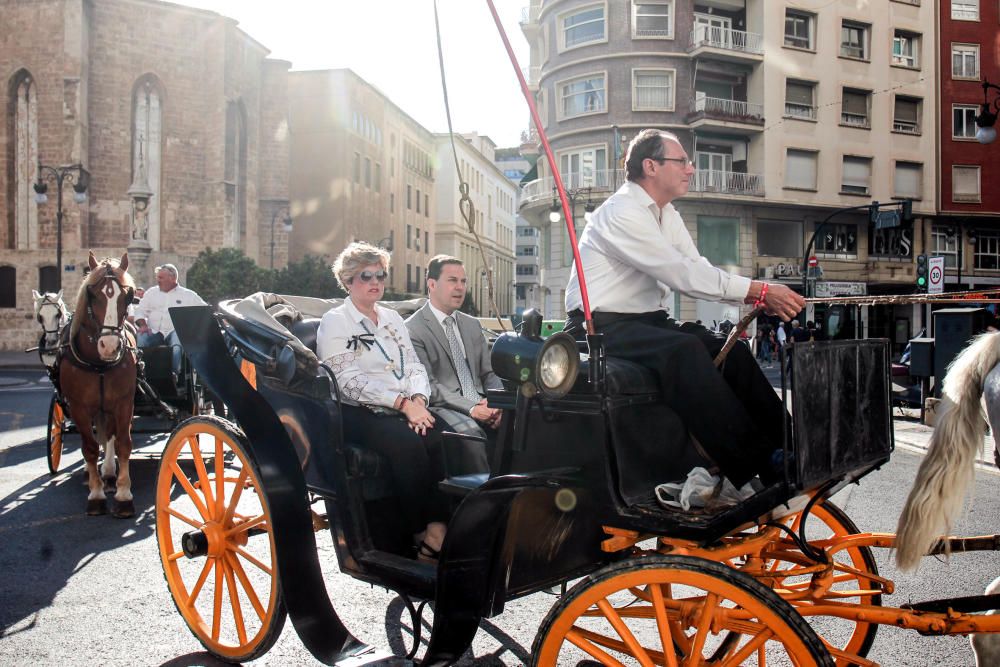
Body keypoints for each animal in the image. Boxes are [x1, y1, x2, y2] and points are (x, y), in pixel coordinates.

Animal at [60, 253, 139, 520]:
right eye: (92, 294)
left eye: (128, 296)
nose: (110, 346)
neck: (99, 364)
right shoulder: (79, 407)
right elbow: (90, 448)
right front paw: (96, 495)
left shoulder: (124, 402)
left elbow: (123, 444)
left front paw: (124, 496)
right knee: (96, 441)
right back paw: (96, 474)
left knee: (110, 436)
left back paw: (109, 473)